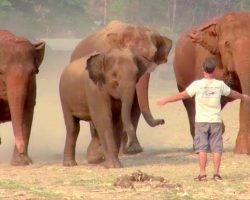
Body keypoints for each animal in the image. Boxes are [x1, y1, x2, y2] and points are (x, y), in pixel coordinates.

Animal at [0, 29, 45, 164]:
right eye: (1, 72)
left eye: (32, 73)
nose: (22, 152)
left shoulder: (32, 86)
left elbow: (27, 112)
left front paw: (21, 163)